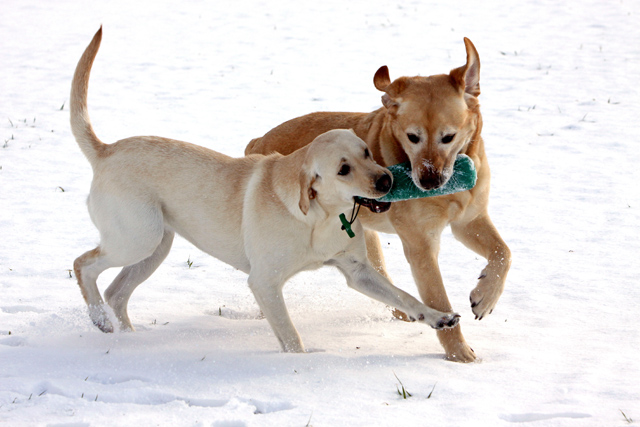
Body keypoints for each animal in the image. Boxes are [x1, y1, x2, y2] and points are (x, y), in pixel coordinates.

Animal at [70, 27, 460, 354]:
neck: (318, 217)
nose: (386, 181)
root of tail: (106, 150)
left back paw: (127, 340)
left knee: (116, 292)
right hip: (138, 237)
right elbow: (290, 335)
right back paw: (100, 319)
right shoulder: (264, 283)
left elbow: (405, 297)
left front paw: (438, 316)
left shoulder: (357, 271)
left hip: (154, 246)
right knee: (83, 265)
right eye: (343, 169)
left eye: (366, 152)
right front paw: (298, 365)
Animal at [245, 37, 510, 362]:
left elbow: (503, 252)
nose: (428, 182)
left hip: (364, 236)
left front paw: (485, 297)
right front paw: (460, 355)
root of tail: (258, 142)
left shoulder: (469, 220)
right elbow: (440, 299)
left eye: (448, 137)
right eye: (412, 137)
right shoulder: (421, 246)